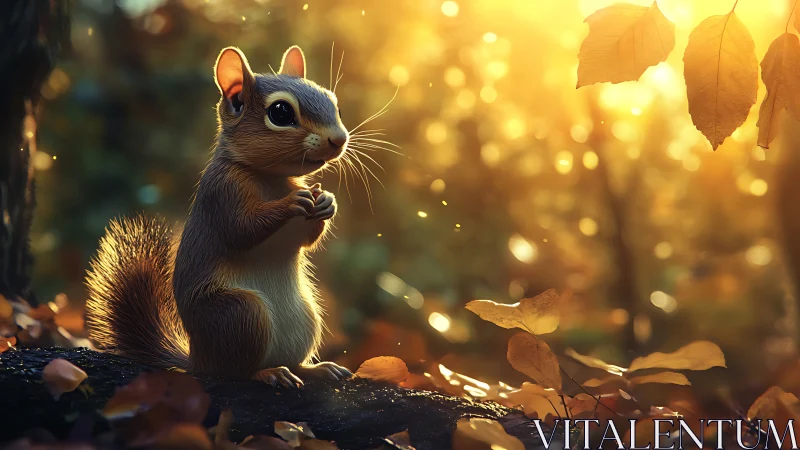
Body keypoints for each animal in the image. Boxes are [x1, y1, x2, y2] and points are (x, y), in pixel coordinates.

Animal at [85, 45, 352, 387]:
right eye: (280, 113)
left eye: (333, 102)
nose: (339, 139)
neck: (270, 177)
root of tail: (197, 358)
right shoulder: (222, 193)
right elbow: (242, 229)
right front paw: (291, 202)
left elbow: (305, 240)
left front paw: (327, 202)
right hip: (239, 314)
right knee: (234, 371)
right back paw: (267, 372)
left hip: (305, 316)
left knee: (290, 360)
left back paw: (314, 368)